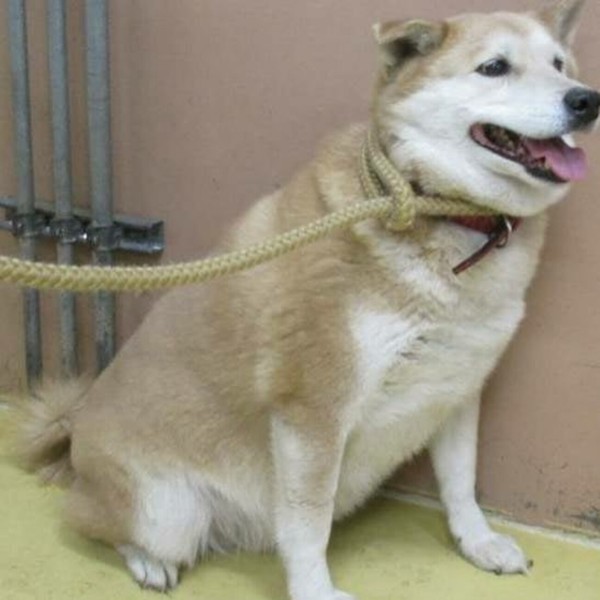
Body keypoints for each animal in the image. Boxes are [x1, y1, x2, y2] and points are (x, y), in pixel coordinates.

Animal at [20, 2, 598, 599]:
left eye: (559, 64)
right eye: (494, 67)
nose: (586, 100)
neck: (430, 209)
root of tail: (73, 430)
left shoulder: (458, 389)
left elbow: (461, 483)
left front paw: (477, 543)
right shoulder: (313, 410)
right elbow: (308, 522)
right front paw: (315, 590)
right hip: (165, 512)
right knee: (99, 523)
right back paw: (148, 562)